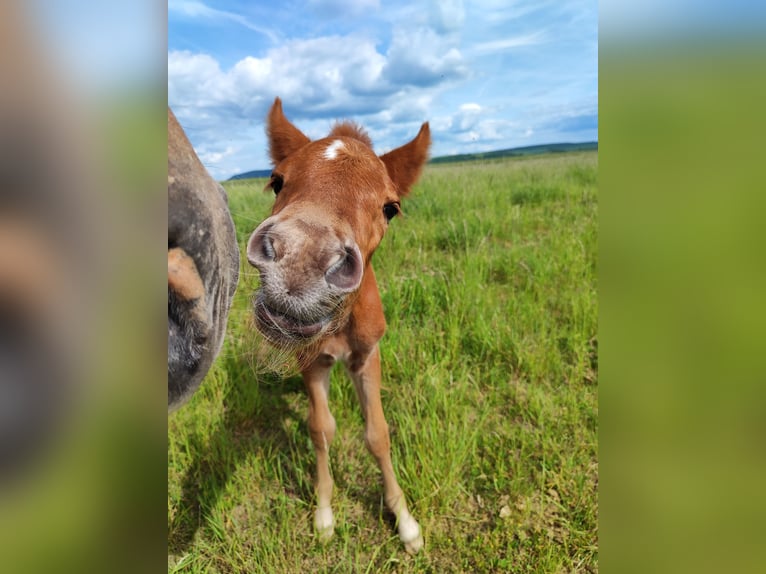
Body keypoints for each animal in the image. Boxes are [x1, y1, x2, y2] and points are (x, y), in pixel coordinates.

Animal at [246, 98, 430, 553]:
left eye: (390, 208)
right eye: (276, 181)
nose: (300, 260)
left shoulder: (367, 355)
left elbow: (378, 433)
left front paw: (405, 522)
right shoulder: (310, 360)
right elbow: (321, 428)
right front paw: (324, 513)